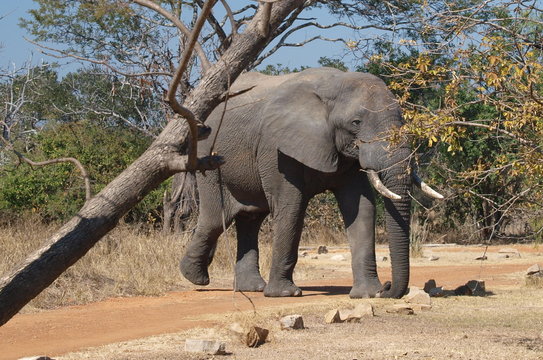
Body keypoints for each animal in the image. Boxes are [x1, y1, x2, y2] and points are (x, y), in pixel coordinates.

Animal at [178, 67, 442, 298]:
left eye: (403, 121)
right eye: (356, 122)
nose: (387, 288)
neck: (334, 85)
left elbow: (361, 208)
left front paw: (367, 294)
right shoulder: (276, 146)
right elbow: (291, 207)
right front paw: (285, 294)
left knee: (250, 219)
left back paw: (250, 288)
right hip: (209, 158)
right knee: (216, 218)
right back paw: (196, 277)